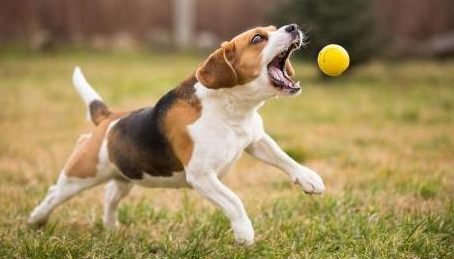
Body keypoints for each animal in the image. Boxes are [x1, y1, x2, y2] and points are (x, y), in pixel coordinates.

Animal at [28, 24, 324, 246]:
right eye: (258, 38)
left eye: (274, 29)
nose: (292, 27)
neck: (231, 108)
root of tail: (109, 118)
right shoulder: (202, 176)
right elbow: (234, 201)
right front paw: (245, 233)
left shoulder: (256, 140)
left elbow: (284, 158)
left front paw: (310, 179)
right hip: (81, 174)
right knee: (55, 193)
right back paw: (36, 220)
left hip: (125, 175)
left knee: (110, 194)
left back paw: (111, 226)